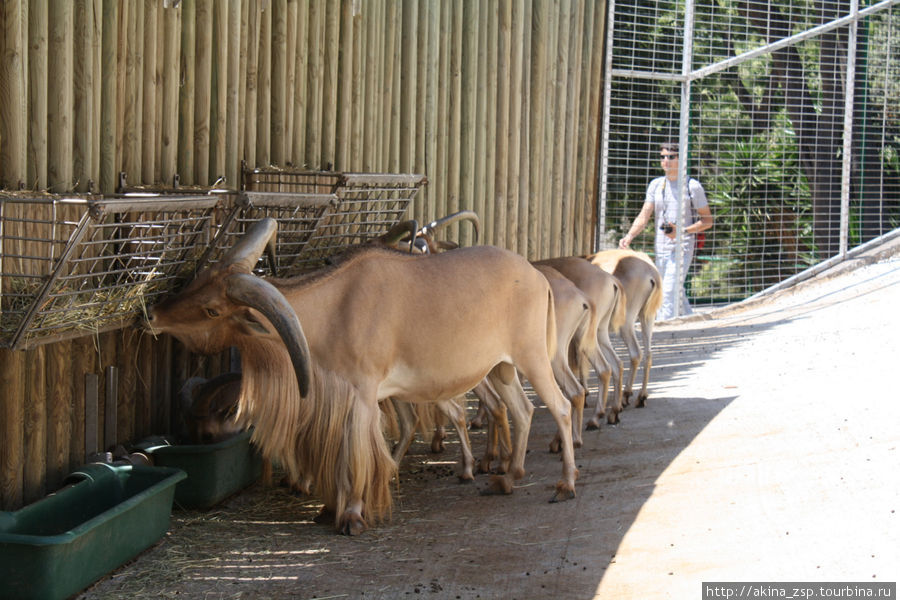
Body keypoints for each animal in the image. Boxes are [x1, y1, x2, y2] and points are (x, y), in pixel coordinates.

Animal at [143, 219, 572, 536]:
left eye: (212, 310)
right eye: (199, 277)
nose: (154, 314)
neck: (334, 310)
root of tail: (538, 278)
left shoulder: (363, 396)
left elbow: (356, 452)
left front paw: (351, 515)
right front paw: (325, 509)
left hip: (533, 358)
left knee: (561, 407)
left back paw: (565, 484)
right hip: (502, 368)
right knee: (523, 411)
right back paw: (509, 478)